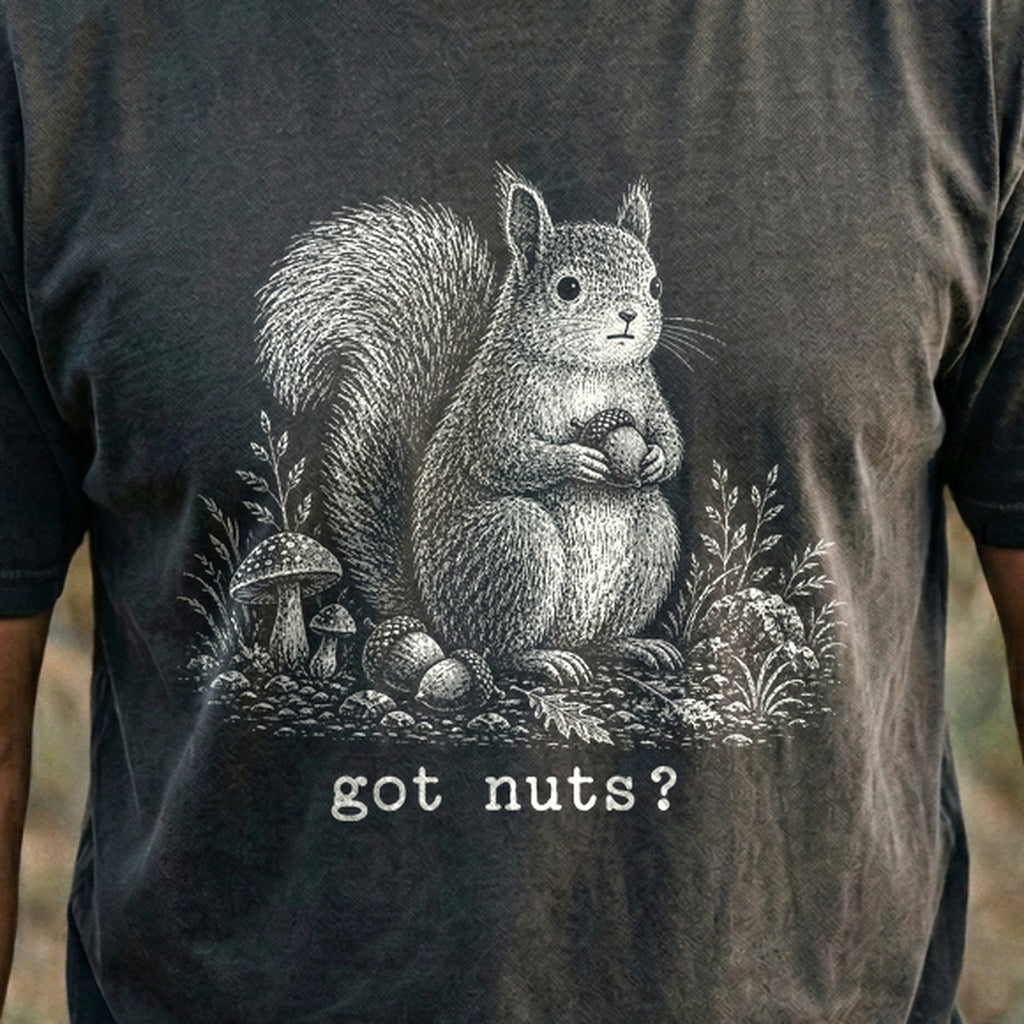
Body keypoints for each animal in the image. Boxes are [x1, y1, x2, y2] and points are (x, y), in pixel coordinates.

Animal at [257, 168, 683, 686]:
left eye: (655, 285)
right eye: (567, 288)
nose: (629, 315)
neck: (590, 370)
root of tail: (433, 616)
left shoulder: (645, 393)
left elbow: (667, 434)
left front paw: (657, 458)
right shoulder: (495, 404)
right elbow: (501, 456)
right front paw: (577, 458)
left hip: (655, 537)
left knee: (604, 626)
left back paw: (631, 645)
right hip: (514, 542)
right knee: (496, 647)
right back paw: (541, 657)